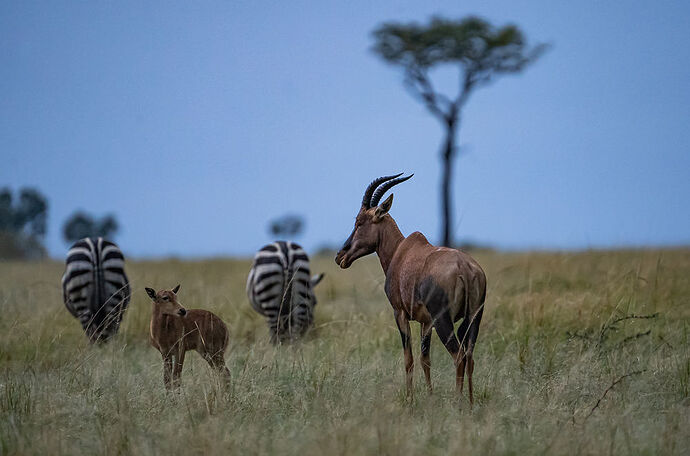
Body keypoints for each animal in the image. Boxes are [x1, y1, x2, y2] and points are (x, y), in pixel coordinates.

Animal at [336, 173, 486, 404]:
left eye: (359, 221)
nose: (340, 256)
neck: (401, 251)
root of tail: (466, 269)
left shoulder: (399, 313)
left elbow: (409, 358)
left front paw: (410, 399)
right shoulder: (426, 322)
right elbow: (425, 358)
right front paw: (430, 396)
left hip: (444, 321)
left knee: (458, 356)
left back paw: (457, 403)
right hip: (473, 319)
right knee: (470, 356)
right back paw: (469, 403)